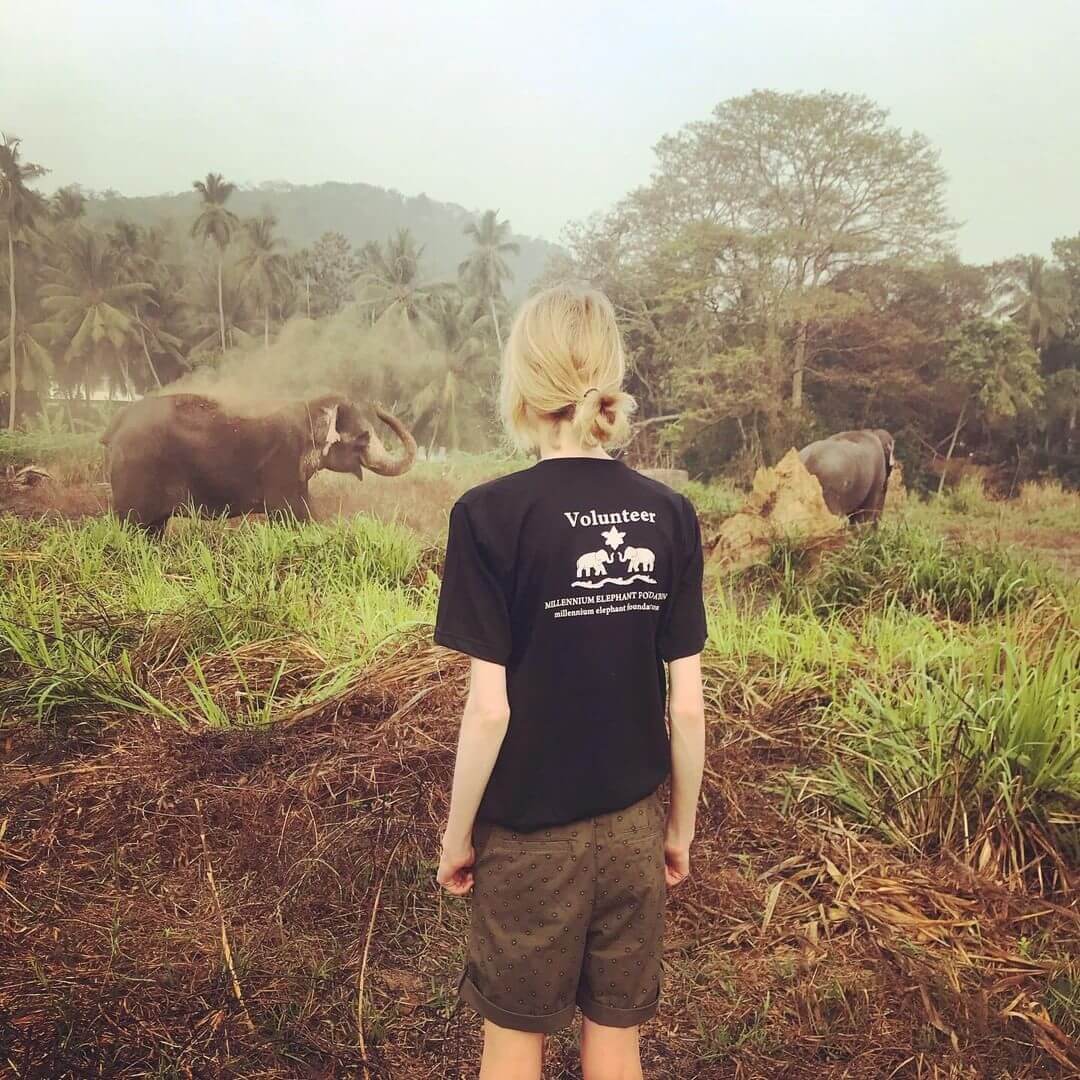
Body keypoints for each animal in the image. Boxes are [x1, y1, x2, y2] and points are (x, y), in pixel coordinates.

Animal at [101, 393, 414, 535]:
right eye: (363, 438)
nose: (380, 407)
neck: (307, 408)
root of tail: (118, 422)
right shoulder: (282, 465)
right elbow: (293, 515)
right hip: (135, 475)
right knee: (133, 526)